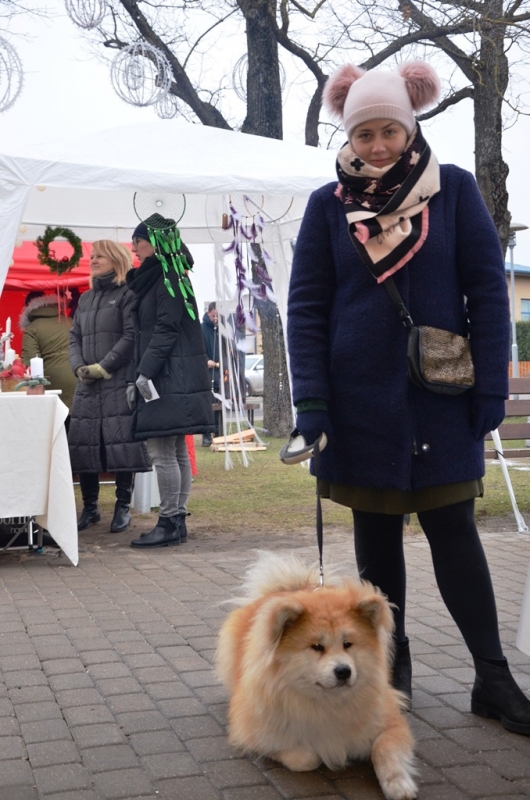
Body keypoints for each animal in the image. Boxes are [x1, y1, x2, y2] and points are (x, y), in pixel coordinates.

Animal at [214, 552, 416, 800]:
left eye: (348, 644)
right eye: (317, 647)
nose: (343, 671)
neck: (327, 703)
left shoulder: (391, 723)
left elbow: (384, 749)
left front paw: (398, 784)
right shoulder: (254, 733)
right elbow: (306, 757)